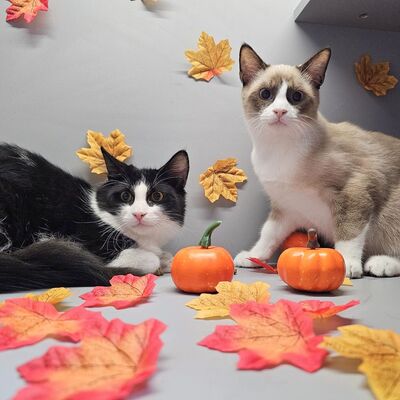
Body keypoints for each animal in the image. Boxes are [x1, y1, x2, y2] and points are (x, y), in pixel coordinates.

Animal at [0, 143, 189, 290]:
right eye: (125, 196)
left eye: (157, 196)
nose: (139, 214)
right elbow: (149, 258)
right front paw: (156, 260)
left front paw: (165, 258)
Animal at [233, 45, 400, 278]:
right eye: (266, 94)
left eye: (296, 96)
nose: (279, 111)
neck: (278, 150)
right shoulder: (286, 207)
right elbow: (268, 234)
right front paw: (252, 256)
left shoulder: (354, 192)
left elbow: (348, 234)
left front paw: (347, 264)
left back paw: (380, 263)